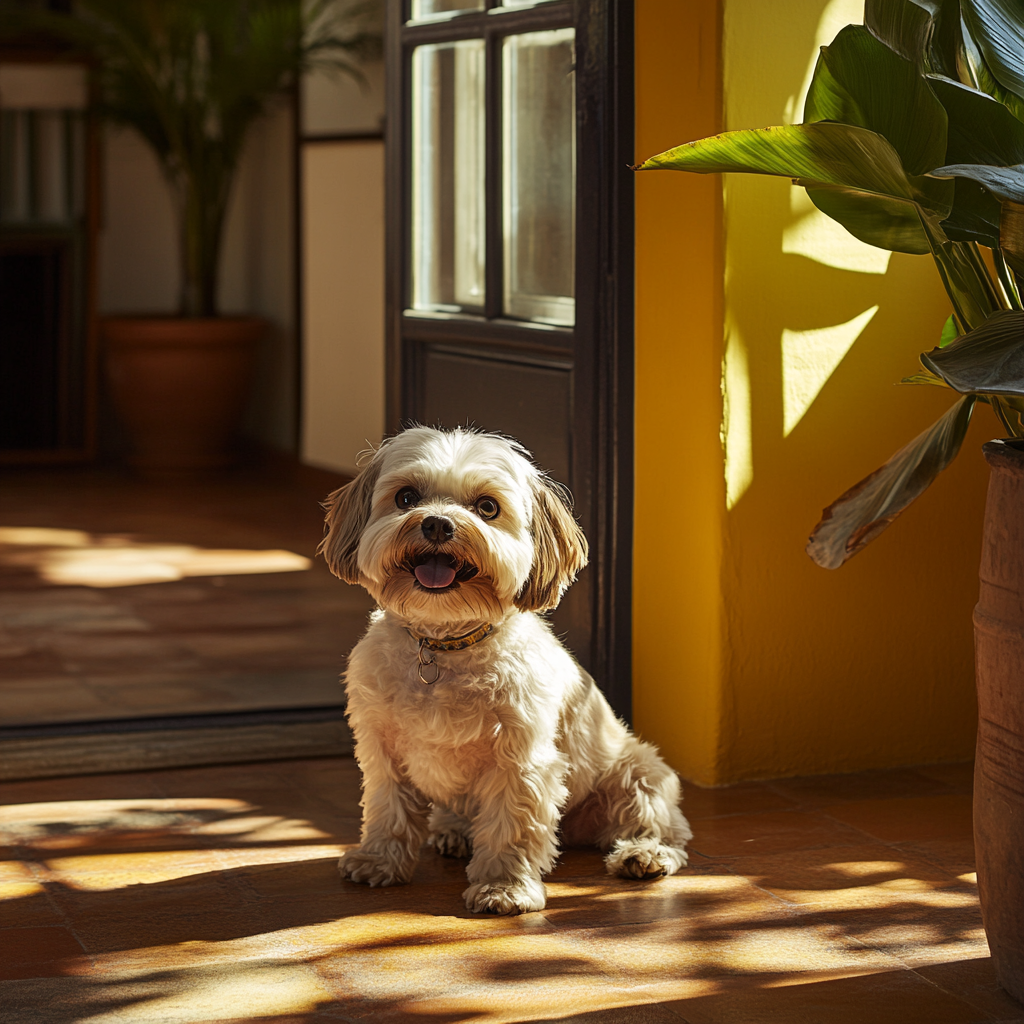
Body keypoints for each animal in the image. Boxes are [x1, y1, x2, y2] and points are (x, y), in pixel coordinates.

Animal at [317, 423, 688, 913]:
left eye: (487, 507)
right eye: (406, 497)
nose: (437, 523)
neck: (444, 646)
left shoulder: (521, 761)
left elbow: (511, 827)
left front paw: (503, 887)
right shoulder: (382, 749)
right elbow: (388, 809)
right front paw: (379, 860)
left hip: (637, 773)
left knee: (662, 826)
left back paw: (644, 854)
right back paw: (454, 832)